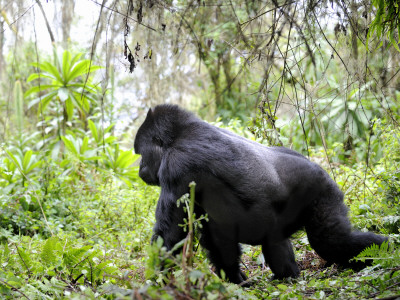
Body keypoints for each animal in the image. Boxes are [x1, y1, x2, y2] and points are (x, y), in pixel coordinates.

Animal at [135, 105, 388, 284]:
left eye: (140, 153)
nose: (139, 169)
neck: (178, 136)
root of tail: (321, 170)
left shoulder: (175, 167)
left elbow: (169, 236)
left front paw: (156, 283)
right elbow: (216, 238)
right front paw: (235, 279)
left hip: (321, 191)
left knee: (330, 241)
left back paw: (385, 251)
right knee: (277, 242)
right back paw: (288, 276)